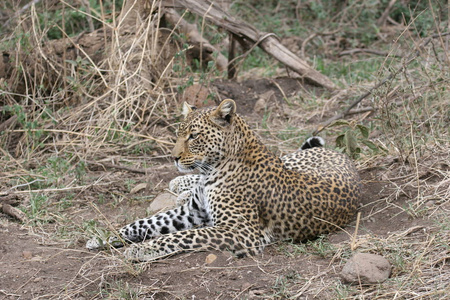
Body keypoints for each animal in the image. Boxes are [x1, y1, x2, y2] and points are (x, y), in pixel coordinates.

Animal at [87, 98, 362, 260]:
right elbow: (145, 222)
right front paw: (104, 236)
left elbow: (179, 236)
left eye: (194, 136)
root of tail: (343, 157)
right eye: (178, 134)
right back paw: (180, 186)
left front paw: (140, 249)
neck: (212, 170)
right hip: (291, 159)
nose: (174, 157)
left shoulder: (241, 232)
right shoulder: (191, 212)